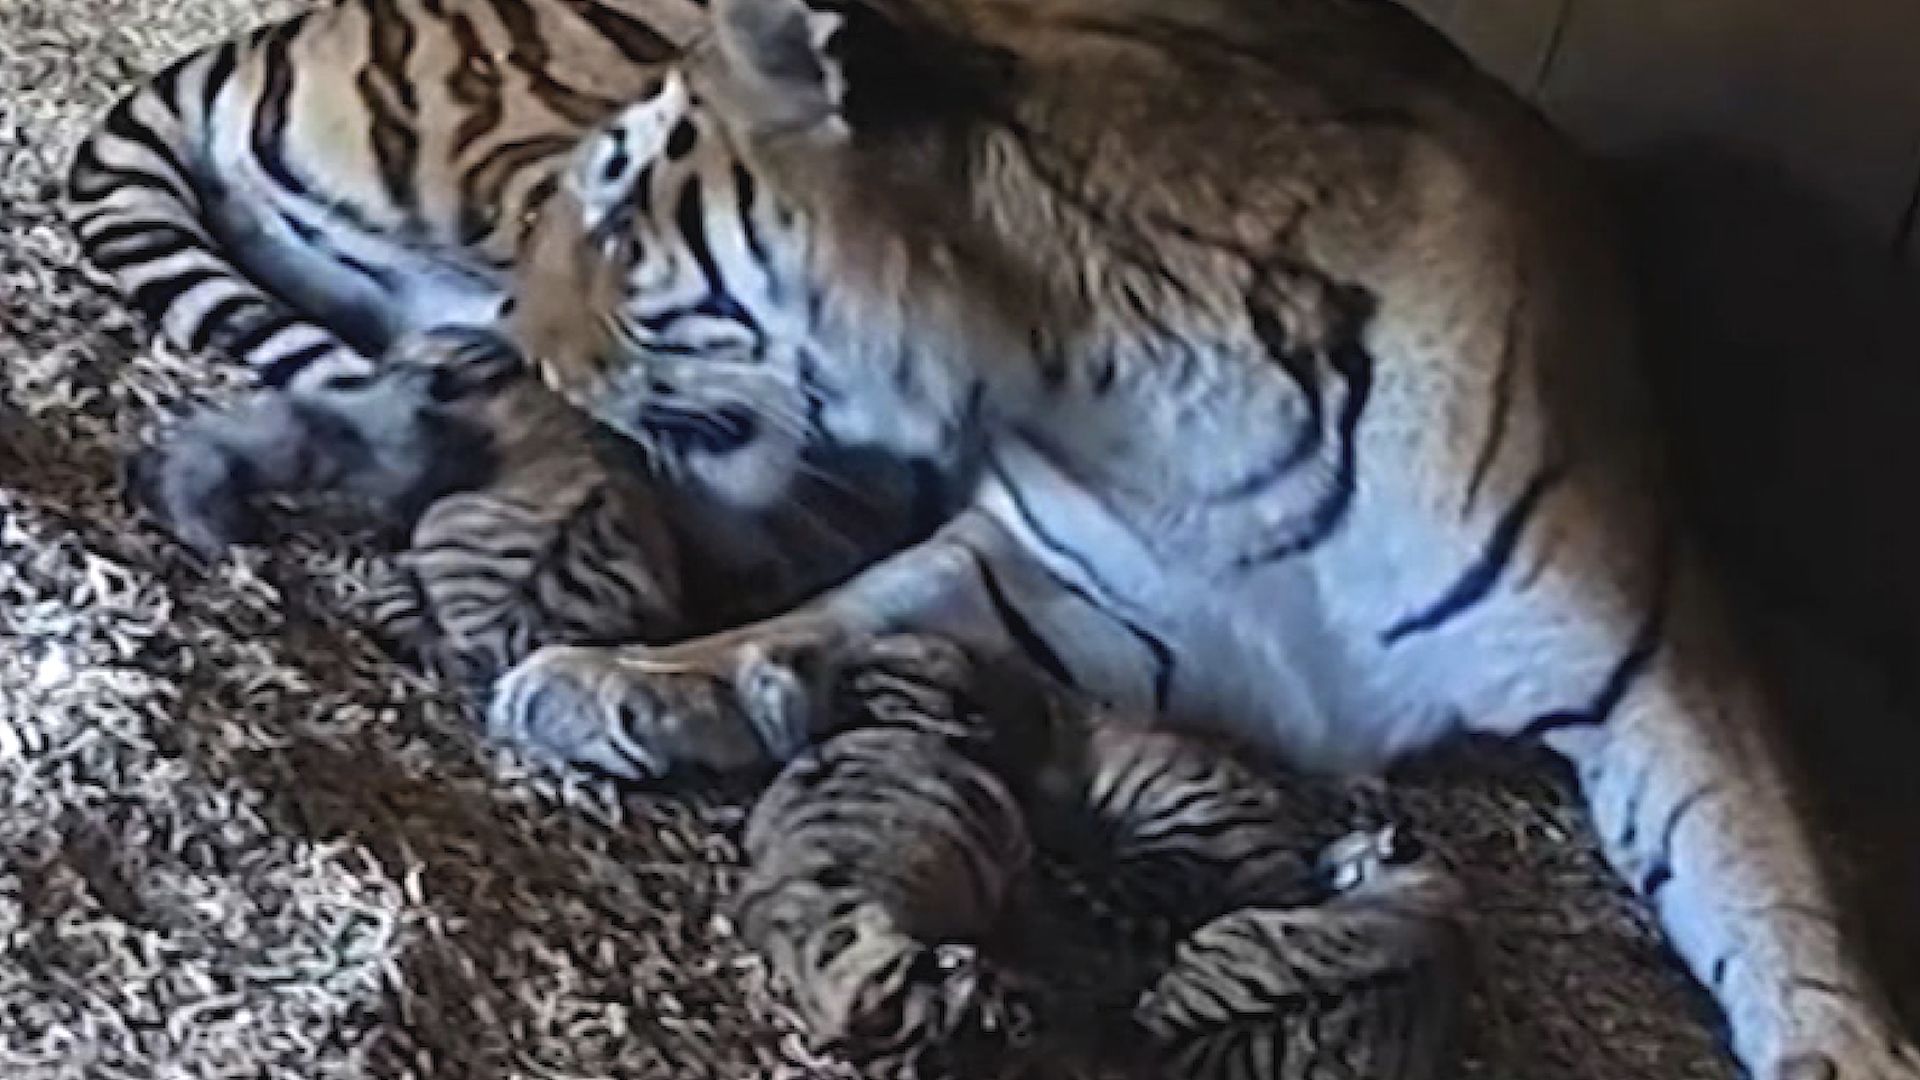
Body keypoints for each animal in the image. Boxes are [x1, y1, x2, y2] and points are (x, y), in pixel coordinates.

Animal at [476, 0, 1920, 1068]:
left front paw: (1845, 1050)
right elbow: (841, 616)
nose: (518, 336)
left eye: (620, 217)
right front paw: (620, 682)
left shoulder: (1644, 646)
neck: (1119, 390)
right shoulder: (1066, 581)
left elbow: (1764, 877)